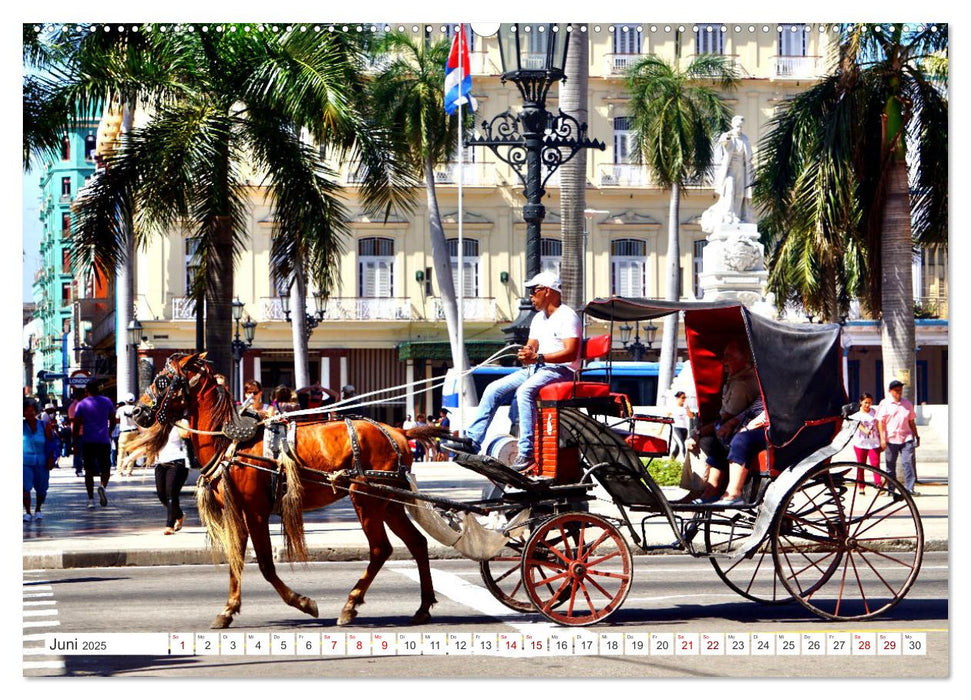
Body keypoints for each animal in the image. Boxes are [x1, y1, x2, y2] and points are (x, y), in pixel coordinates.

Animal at [133, 352, 444, 632]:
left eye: (162, 381)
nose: (136, 412)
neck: (229, 440)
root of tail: (400, 433)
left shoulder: (255, 512)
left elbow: (265, 565)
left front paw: (302, 602)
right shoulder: (237, 512)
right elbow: (236, 561)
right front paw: (228, 609)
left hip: (366, 500)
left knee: (381, 548)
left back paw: (351, 604)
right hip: (389, 503)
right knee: (417, 543)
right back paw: (423, 607)